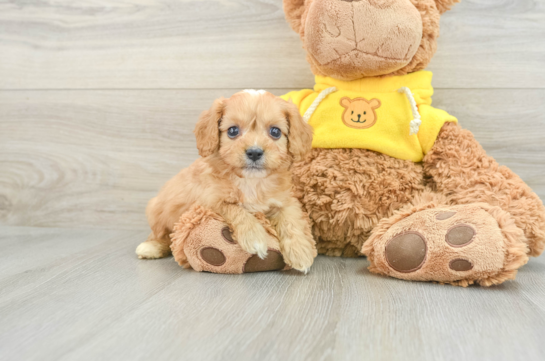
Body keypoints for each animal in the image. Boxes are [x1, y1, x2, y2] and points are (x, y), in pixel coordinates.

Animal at [133, 88, 316, 272]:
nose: (254, 152)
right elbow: (234, 209)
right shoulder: (208, 201)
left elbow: (291, 220)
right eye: (233, 131)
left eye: (275, 132)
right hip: (156, 211)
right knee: (162, 235)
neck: (251, 182)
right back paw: (151, 247)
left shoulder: (284, 200)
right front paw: (255, 237)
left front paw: (300, 252)